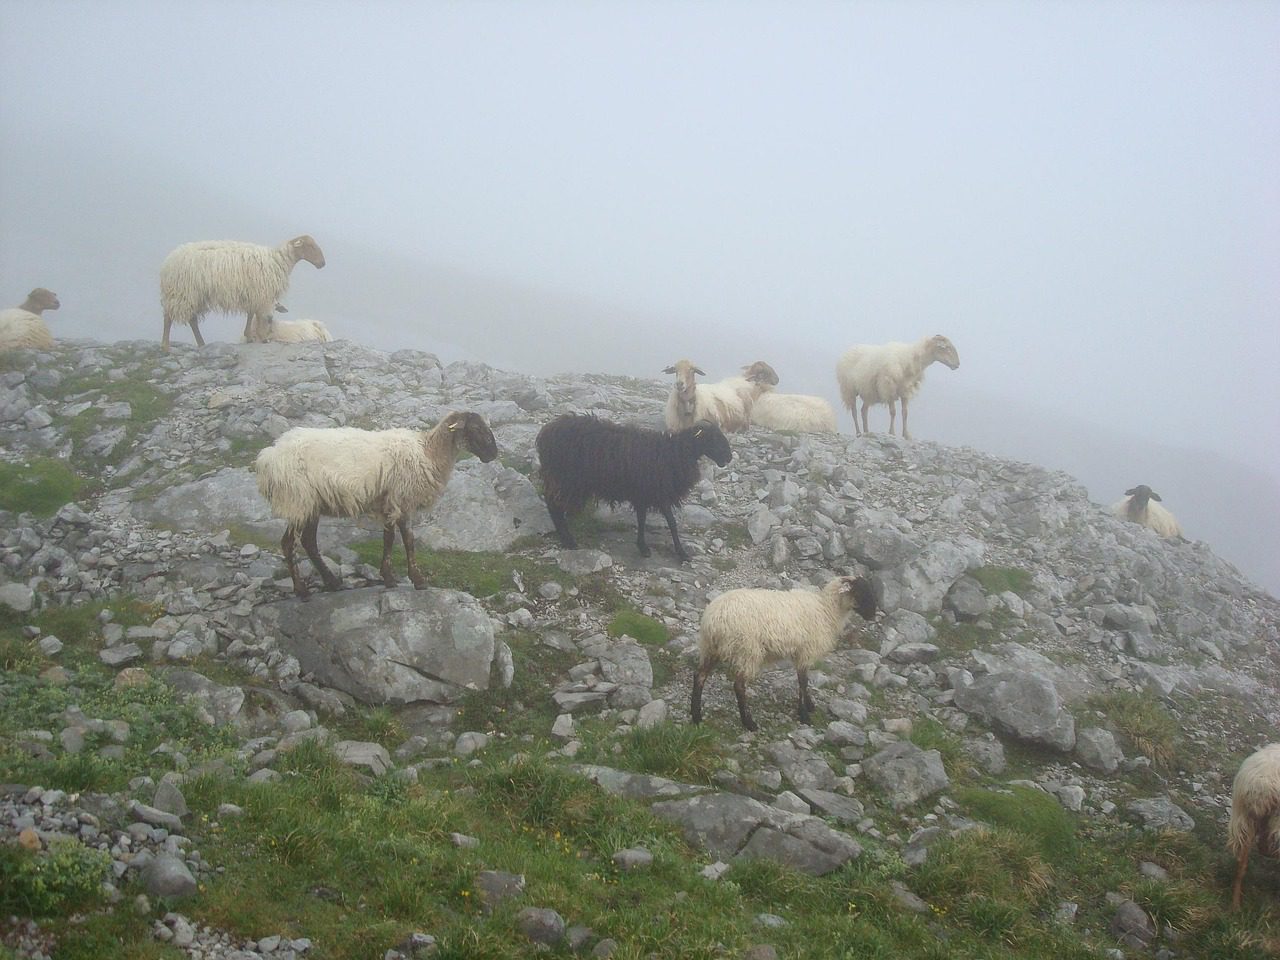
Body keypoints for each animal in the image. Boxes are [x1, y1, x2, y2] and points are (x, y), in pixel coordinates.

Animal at [159, 235, 326, 351]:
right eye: (310, 245)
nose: (322, 263)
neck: (278, 260)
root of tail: (168, 262)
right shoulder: (261, 293)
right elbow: (262, 316)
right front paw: (262, 337)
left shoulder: (254, 292)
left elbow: (252, 314)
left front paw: (251, 336)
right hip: (182, 292)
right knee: (168, 317)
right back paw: (166, 346)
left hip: (196, 295)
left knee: (192, 320)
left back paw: (201, 344)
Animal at [254, 411, 498, 598]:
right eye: (476, 428)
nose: (494, 454)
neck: (428, 452)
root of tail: (268, 457)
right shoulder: (401, 499)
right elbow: (407, 540)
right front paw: (416, 580)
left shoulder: (389, 502)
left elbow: (389, 539)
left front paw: (389, 577)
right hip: (298, 499)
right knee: (289, 544)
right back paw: (302, 590)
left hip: (311, 504)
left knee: (309, 542)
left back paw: (333, 583)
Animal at [536, 413, 732, 563]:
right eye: (713, 437)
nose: (729, 457)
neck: (674, 452)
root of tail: (545, 433)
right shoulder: (659, 494)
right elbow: (672, 523)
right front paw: (682, 553)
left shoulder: (643, 494)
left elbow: (642, 519)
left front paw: (643, 546)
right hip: (564, 480)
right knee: (554, 506)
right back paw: (568, 540)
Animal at [691, 576, 878, 731]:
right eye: (860, 591)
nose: (872, 615)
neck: (826, 610)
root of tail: (713, 619)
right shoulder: (805, 651)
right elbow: (803, 682)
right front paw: (804, 715)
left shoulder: (800, 652)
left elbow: (803, 681)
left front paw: (809, 705)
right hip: (746, 650)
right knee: (738, 686)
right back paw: (749, 723)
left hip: (711, 648)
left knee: (699, 676)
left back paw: (696, 716)